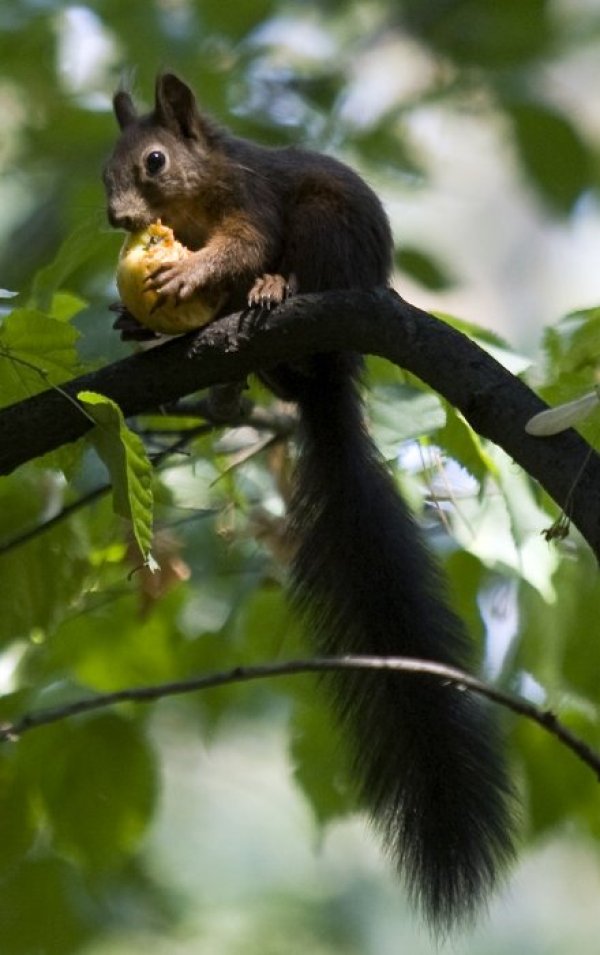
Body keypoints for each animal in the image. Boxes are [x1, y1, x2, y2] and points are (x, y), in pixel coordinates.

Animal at [104, 74, 516, 932]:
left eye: (155, 161)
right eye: (106, 169)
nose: (120, 220)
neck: (195, 201)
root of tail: (333, 374)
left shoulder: (253, 199)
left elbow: (243, 243)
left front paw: (195, 277)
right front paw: (135, 318)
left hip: (328, 234)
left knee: (293, 274)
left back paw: (273, 291)